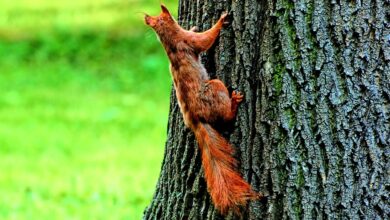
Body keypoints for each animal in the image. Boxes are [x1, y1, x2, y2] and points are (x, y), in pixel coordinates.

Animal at [145, 4, 260, 215]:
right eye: (168, 15)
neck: (169, 41)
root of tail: (195, 119)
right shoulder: (189, 42)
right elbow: (206, 39)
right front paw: (221, 21)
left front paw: (194, 25)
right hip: (215, 88)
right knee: (226, 115)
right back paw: (234, 102)